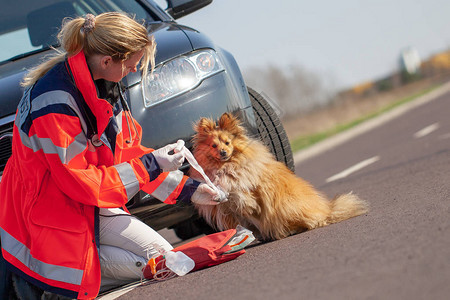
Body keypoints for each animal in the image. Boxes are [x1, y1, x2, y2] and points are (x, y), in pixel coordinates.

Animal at [190, 112, 370, 241]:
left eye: (227, 143)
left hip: (287, 206)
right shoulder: (228, 210)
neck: (224, 166)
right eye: (214, 145)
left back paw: (293, 229)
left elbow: (247, 202)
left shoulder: (247, 194)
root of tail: (327, 210)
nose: (223, 152)